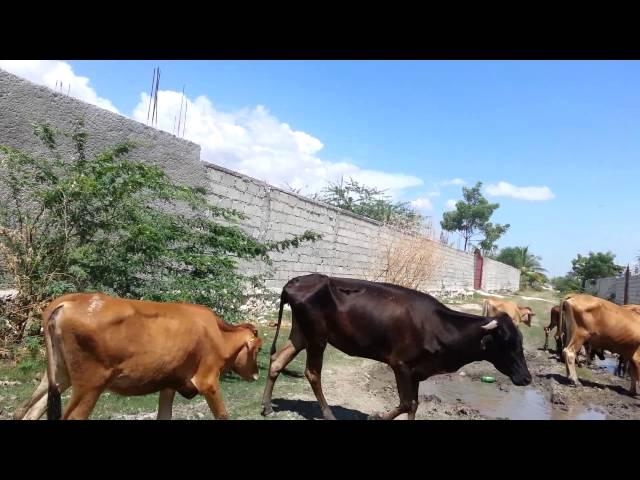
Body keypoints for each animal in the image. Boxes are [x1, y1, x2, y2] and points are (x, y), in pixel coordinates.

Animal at [18, 290, 262, 418]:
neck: (217, 333)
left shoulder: (169, 383)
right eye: (258, 348)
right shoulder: (207, 380)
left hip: (58, 377)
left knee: (28, 410)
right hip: (89, 385)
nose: (256, 374)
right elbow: (222, 414)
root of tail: (69, 300)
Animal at [260, 274, 528, 420]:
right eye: (508, 343)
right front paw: (375, 415)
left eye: (521, 341)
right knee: (313, 373)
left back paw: (267, 407)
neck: (439, 327)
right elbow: (406, 403)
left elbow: (414, 405)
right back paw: (328, 414)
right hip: (317, 337)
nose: (527, 378)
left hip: (301, 333)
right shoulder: (400, 365)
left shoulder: (417, 371)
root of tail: (297, 281)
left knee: (277, 361)